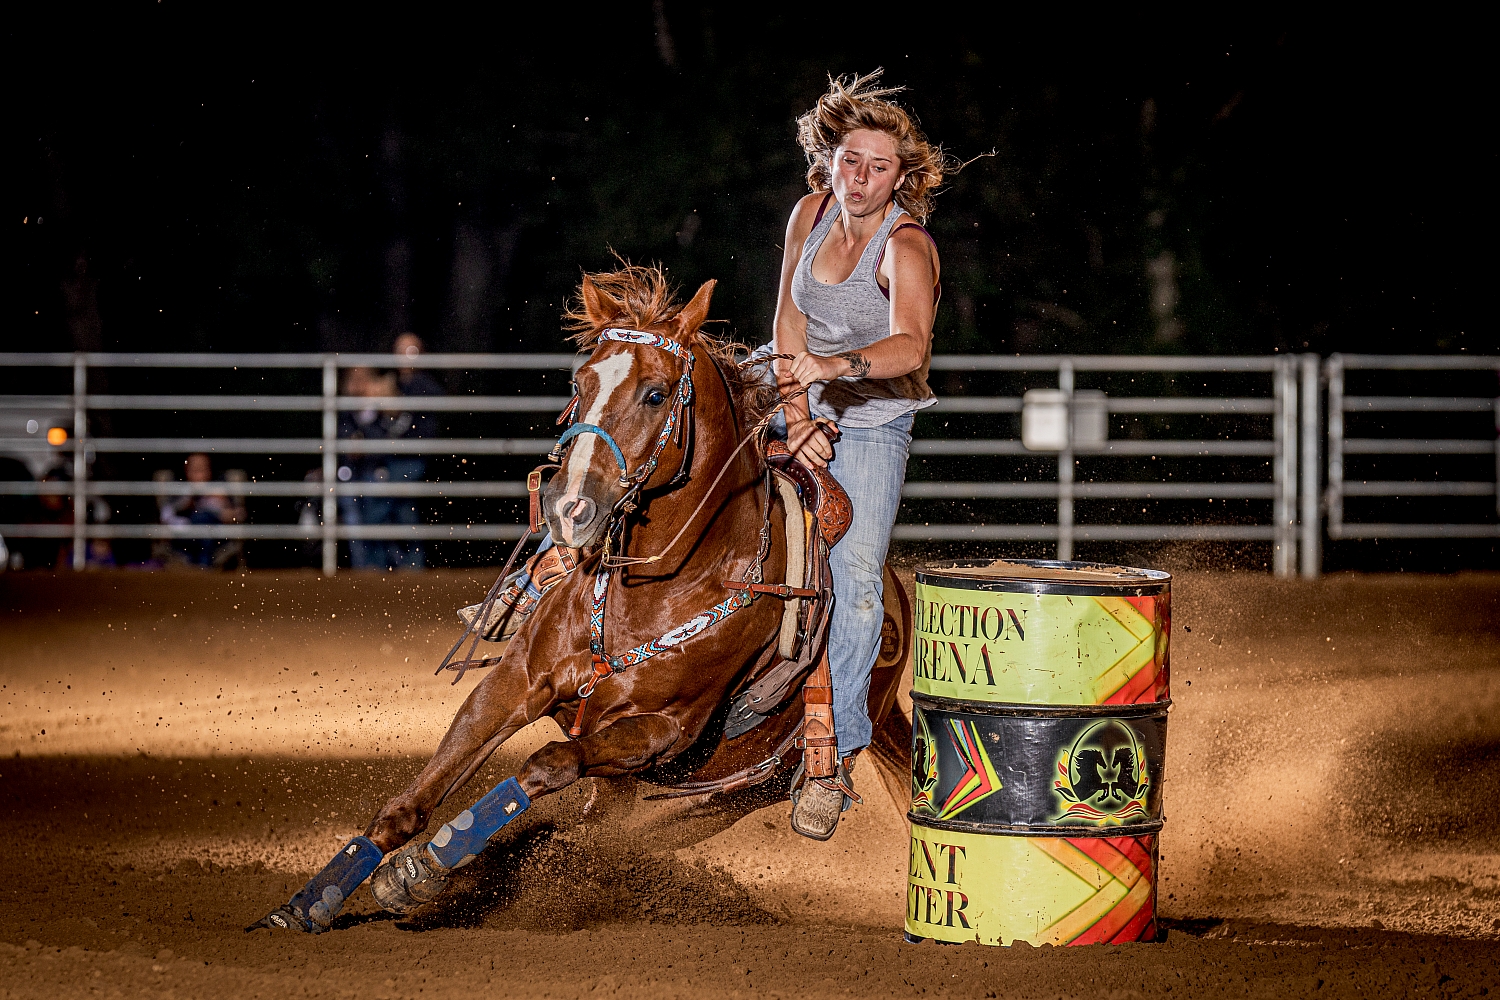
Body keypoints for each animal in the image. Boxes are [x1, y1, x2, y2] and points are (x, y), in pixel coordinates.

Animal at [252, 265, 906, 929]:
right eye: (580, 379)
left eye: (656, 394)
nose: (569, 507)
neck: (661, 587)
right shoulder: (517, 680)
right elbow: (414, 798)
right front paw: (312, 901)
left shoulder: (661, 732)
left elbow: (544, 764)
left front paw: (422, 871)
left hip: (719, 797)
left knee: (591, 831)